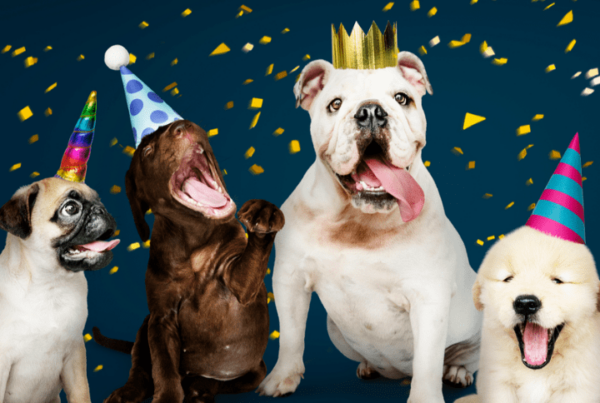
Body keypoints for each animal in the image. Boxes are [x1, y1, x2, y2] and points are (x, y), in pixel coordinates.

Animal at [0, 180, 120, 403]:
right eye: (70, 208)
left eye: (98, 200)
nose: (101, 209)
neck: (50, 284)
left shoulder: (74, 355)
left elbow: (81, 393)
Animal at [94, 120, 286, 403]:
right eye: (147, 151)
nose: (182, 126)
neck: (195, 240)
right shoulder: (161, 318)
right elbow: (163, 367)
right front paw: (166, 398)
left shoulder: (239, 283)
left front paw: (264, 212)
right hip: (144, 327)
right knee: (140, 367)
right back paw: (128, 392)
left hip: (254, 370)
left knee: (226, 381)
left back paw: (200, 388)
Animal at [258, 52, 482, 402]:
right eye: (335, 104)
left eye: (402, 98)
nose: (371, 111)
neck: (358, 221)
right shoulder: (289, 278)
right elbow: (292, 336)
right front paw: (282, 379)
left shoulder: (428, 297)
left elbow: (428, 360)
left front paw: (425, 397)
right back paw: (367, 366)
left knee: (462, 357)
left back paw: (457, 371)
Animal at [454, 227, 600, 403]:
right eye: (508, 279)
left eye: (557, 281)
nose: (525, 304)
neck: (536, 371)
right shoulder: (498, 383)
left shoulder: (577, 387)